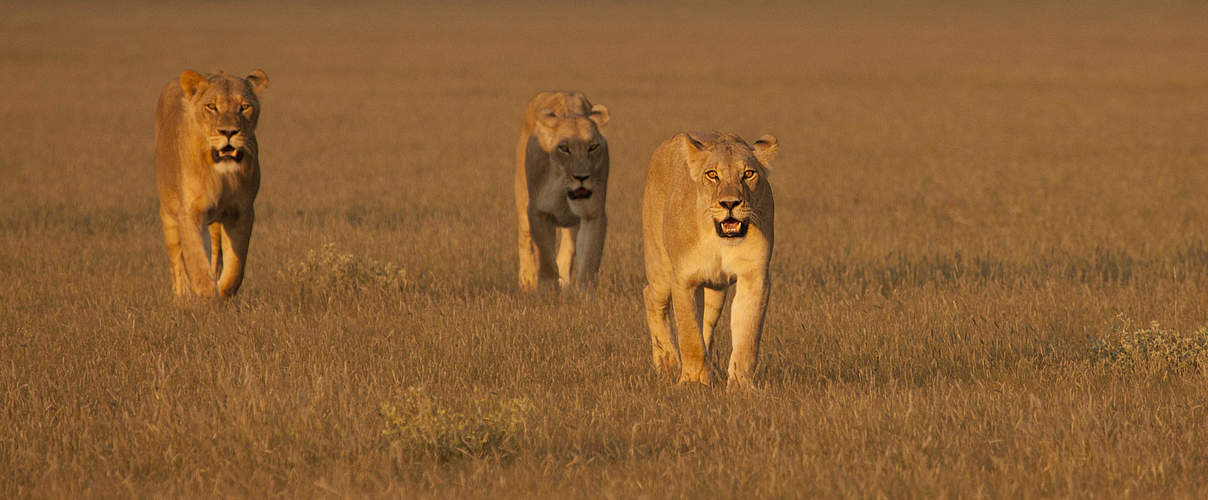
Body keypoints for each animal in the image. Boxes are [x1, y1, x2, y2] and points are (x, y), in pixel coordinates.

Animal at [154, 67, 270, 298]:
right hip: (168, 214)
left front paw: (223, 290)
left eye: (244, 107)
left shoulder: (241, 211)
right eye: (211, 106)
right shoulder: (190, 212)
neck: (221, 174)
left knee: (217, 253)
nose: (228, 132)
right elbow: (197, 262)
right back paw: (182, 294)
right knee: (176, 258)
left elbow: (235, 267)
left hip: (216, 222)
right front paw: (206, 297)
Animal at [512, 91, 608, 291]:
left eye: (593, 147)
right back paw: (526, 282)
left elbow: (589, 259)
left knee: (568, 248)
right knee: (524, 238)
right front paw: (548, 291)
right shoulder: (538, 211)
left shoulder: (593, 214)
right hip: (522, 198)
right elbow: (545, 258)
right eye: (564, 148)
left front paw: (585, 294)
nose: (582, 177)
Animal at [642, 131, 782, 388]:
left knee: (706, 323)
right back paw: (667, 364)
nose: (730, 203)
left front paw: (740, 386)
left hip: (716, 289)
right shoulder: (683, 279)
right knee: (651, 297)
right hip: (661, 269)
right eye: (712, 175)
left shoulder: (754, 277)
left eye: (748, 174)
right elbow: (689, 336)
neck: (719, 239)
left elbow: (747, 336)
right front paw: (691, 382)